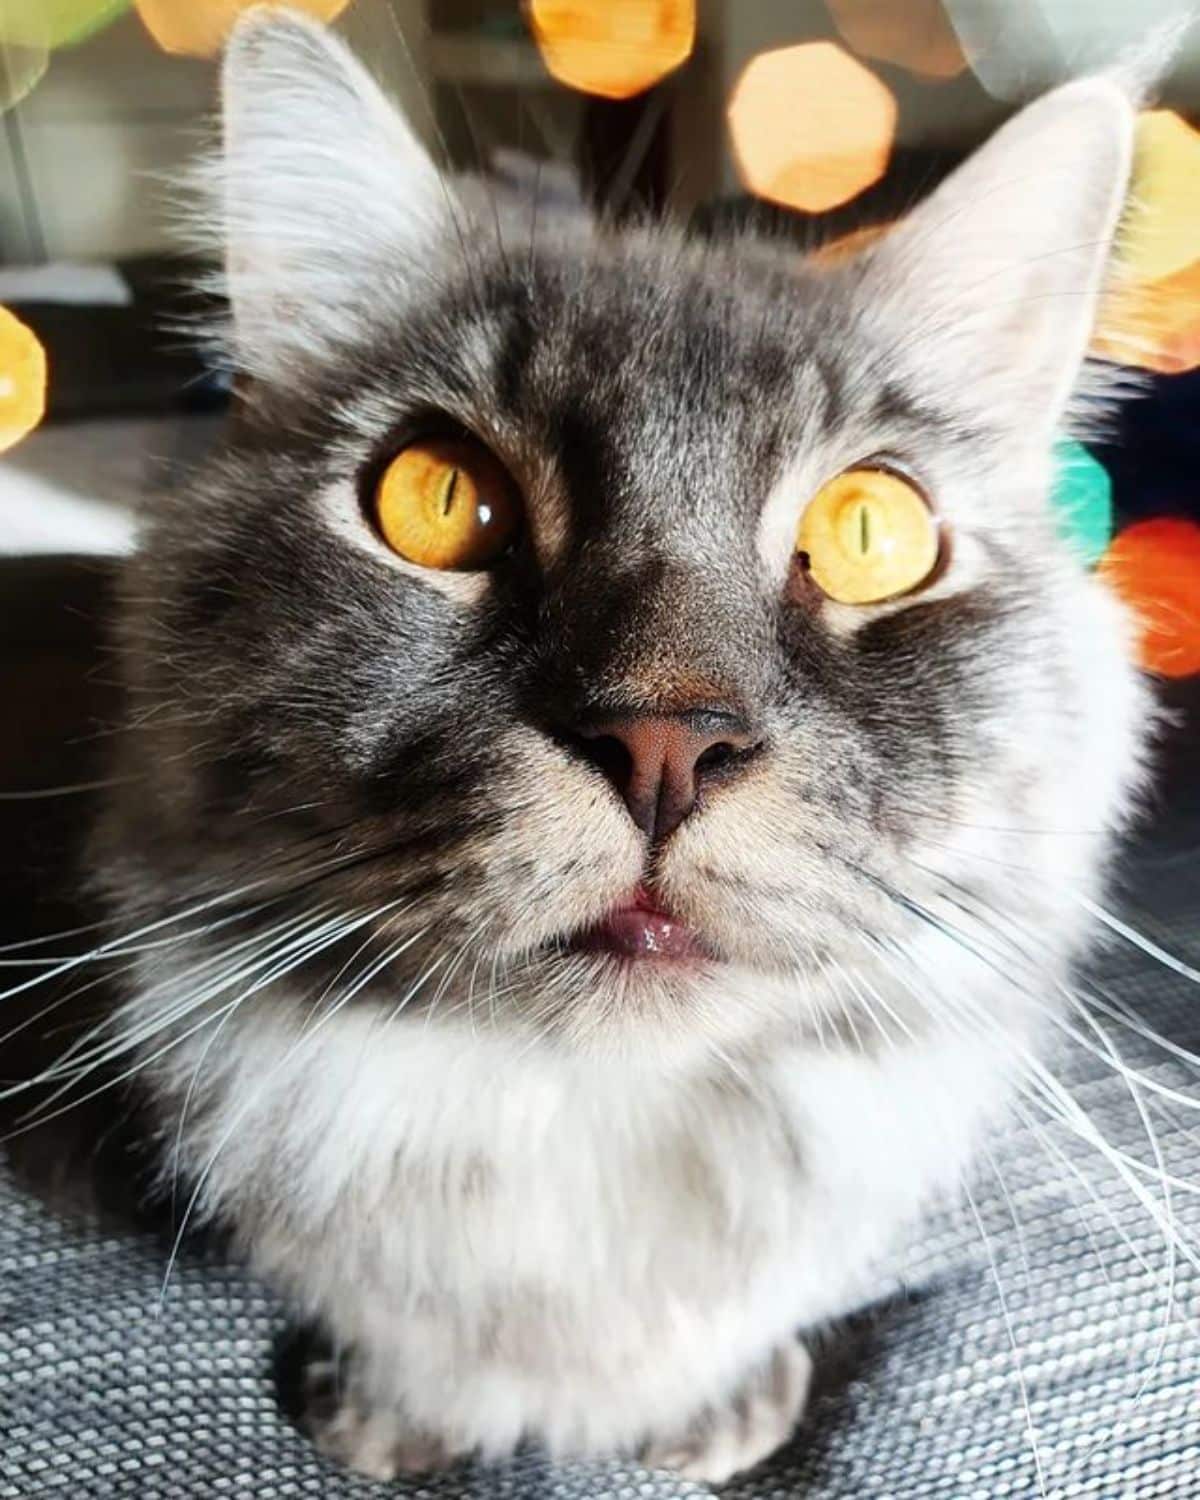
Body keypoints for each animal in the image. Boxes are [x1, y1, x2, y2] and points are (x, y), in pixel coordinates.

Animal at [86, 8, 1152, 1488]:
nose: (662, 741)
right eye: (435, 502)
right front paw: (394, 1419)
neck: (589, 1141)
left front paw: (713, 1415)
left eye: (870, 534)